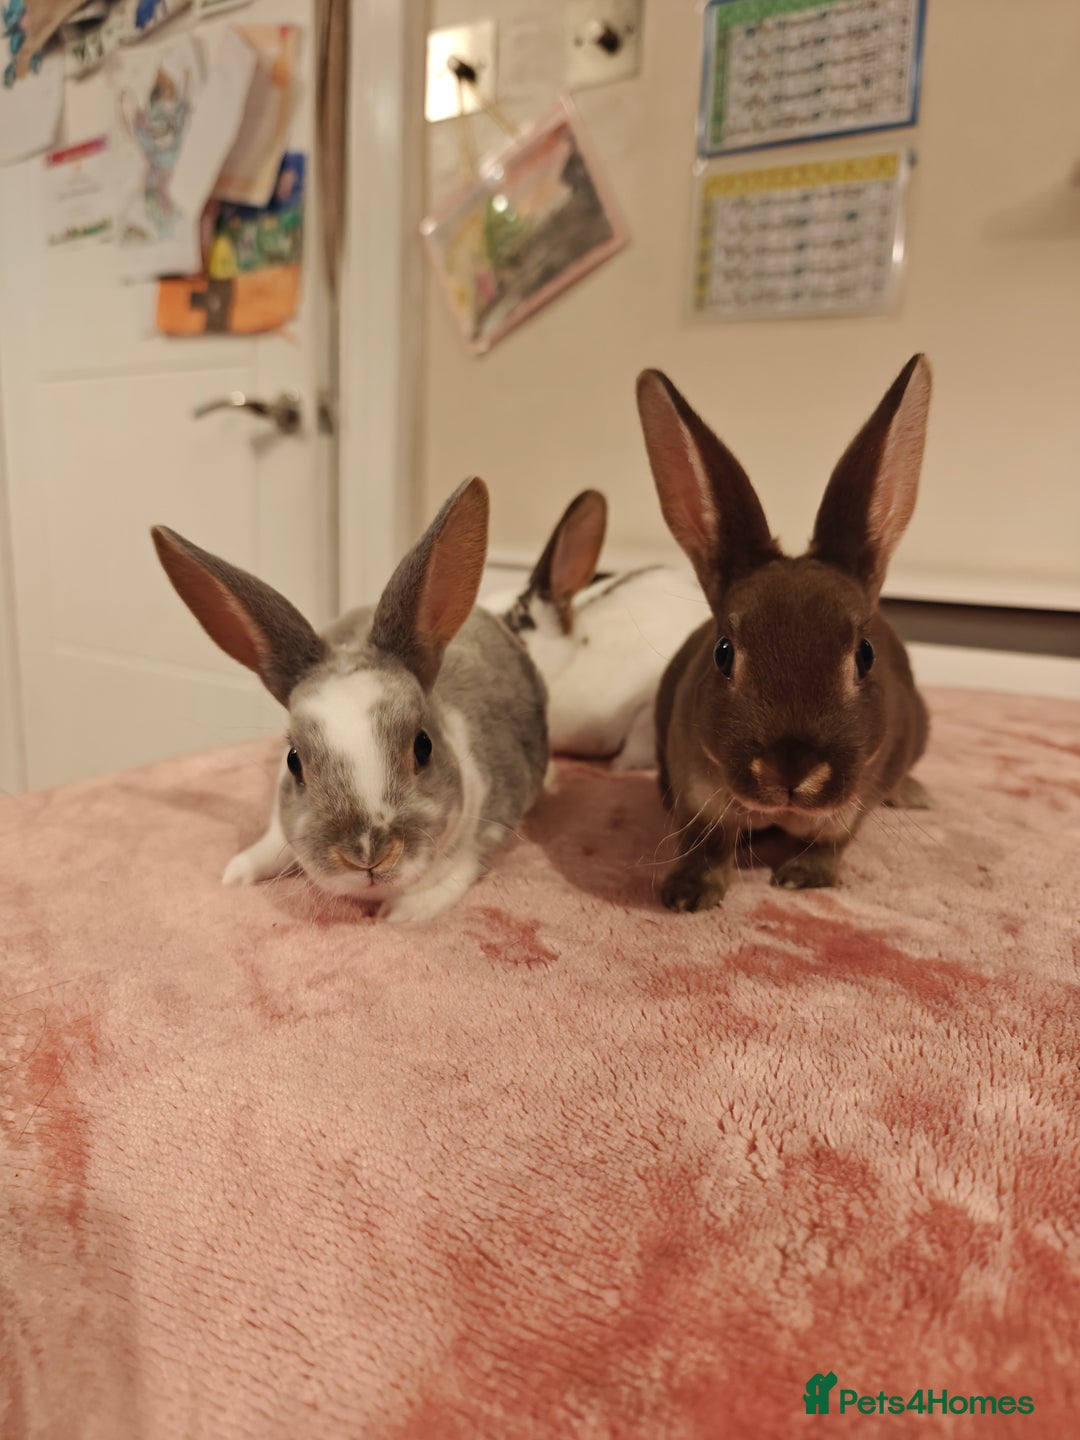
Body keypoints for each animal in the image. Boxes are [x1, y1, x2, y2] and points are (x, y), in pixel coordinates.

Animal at [151, 478, 549, 923]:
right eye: (294, 761)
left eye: (423, 746)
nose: (366, 855)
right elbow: (271, 841)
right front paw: (237, 872)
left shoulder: (495, 814)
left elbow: (460, 869)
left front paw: (402, 913)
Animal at [635, 354, 933, 912]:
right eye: (723, 653)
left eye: (865, 655)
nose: (789, 769)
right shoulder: (698, 798)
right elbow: (706, 845)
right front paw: (686, 895)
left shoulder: (850, 807)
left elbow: (831, 842)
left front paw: (801, 878)